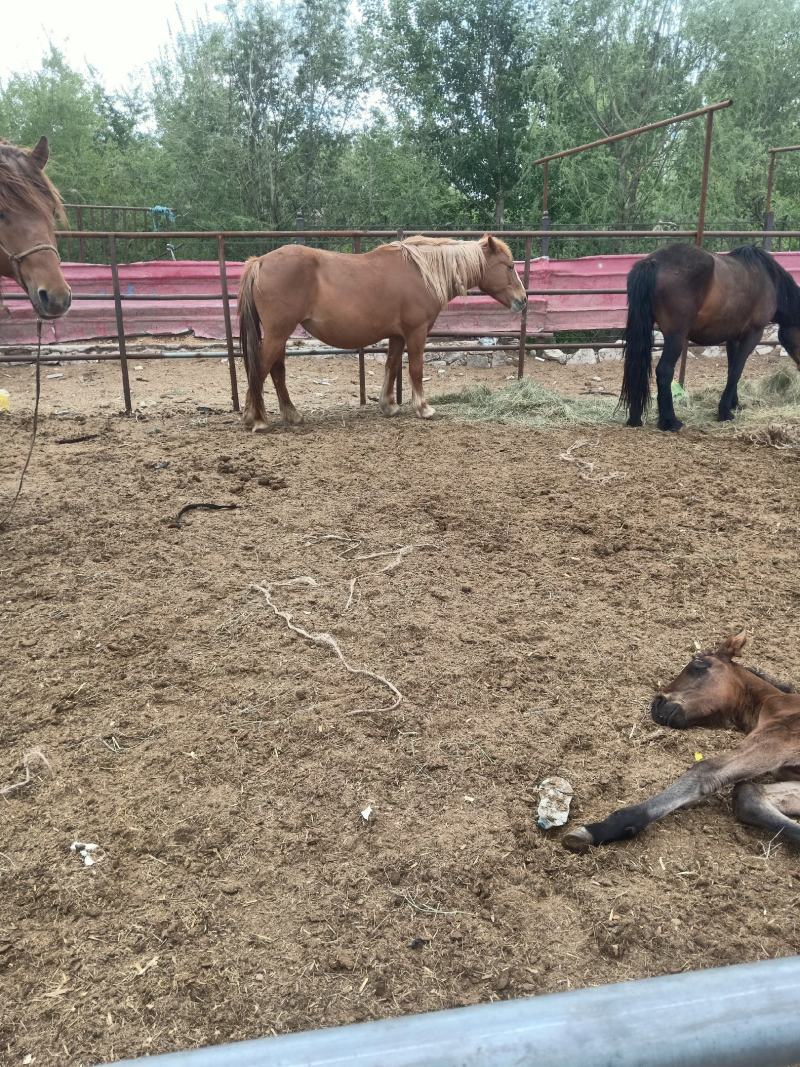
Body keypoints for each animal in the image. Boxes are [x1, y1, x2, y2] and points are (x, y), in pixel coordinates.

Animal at [237, 234, 527, 431]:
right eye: (509, 266)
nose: (523, 300)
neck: (422, 273)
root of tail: (260, 262)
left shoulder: (397, 335)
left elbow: (392, 365)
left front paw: (388, 405)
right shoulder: (416, 332)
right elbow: (416, 369)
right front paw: (423, 408)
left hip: (280, 335)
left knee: (276, 371)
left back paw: (290, 414)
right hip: (278, 333)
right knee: (260, 369)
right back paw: (257, 419)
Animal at [562, 633, 800, 854]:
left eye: (698, 664)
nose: (657, 704)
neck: (773, 703)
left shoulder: (777, 738)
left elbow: (704, 772)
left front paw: (598, 830)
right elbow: (747, 794)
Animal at [620, 244, 800, 431]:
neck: (769, 280)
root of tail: (653, 262)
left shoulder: (733, 338)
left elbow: (732, 370)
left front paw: (734, 404)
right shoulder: (753, 334)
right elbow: (736, 371)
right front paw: (725, 412)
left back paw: (635, 418)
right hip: (676, 337)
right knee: (664, 371)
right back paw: (670, 421)